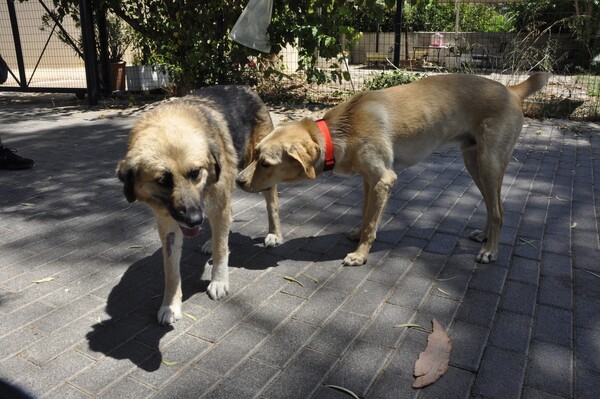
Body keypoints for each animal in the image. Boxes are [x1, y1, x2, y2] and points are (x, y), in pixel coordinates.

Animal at [119, 86, 284, 324]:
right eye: (162, 181)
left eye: (195, 173)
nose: (194, 220)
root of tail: (244, 88)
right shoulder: (169, 224)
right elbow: (171, 270)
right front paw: (170, 304)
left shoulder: (216, 205)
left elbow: (221, 249)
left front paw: (219, 281)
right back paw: (209, 241)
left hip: (257, 176)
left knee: (272, 203)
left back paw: (274, 234)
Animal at [237, 73, 552, 268]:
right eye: (256, 155)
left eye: (265, 163)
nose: (238, 181)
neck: (338, 132)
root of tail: (510, 90)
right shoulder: (369, 181)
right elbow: (366, 215)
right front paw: (358, 232)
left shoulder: (384, 180)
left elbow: (371, 225)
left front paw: (360, 254)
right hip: (474, 163)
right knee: (492, 204)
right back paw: (484, 236)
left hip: (489, 163)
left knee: (498, 209)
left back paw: (490, 251)